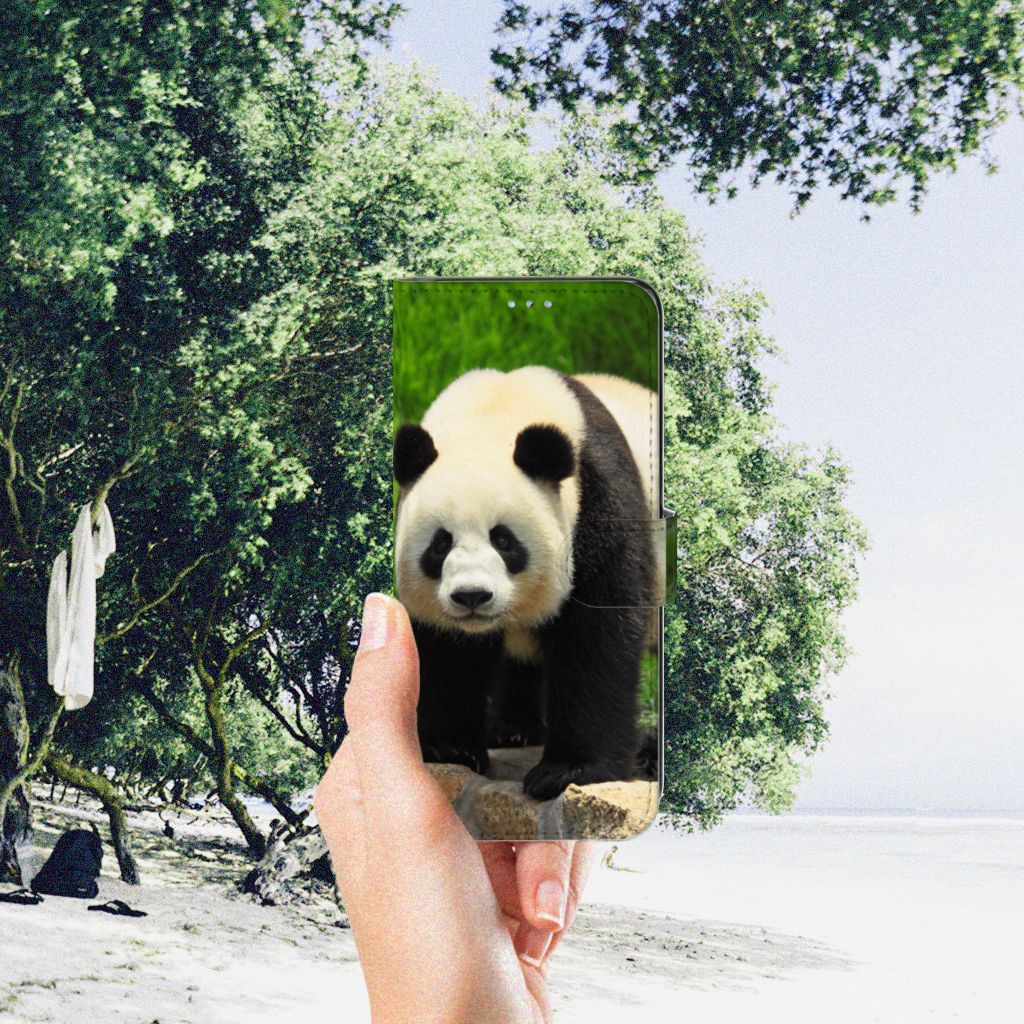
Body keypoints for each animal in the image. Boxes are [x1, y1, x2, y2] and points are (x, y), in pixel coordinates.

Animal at [393, 365, 658, 800]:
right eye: (441, 543)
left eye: (503, 540)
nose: (472, 596)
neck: (495, 412)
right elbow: (447, 651)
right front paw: (451, 748)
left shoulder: (599, 503)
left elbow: (598, 636)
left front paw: (568, 770)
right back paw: (514, 730)